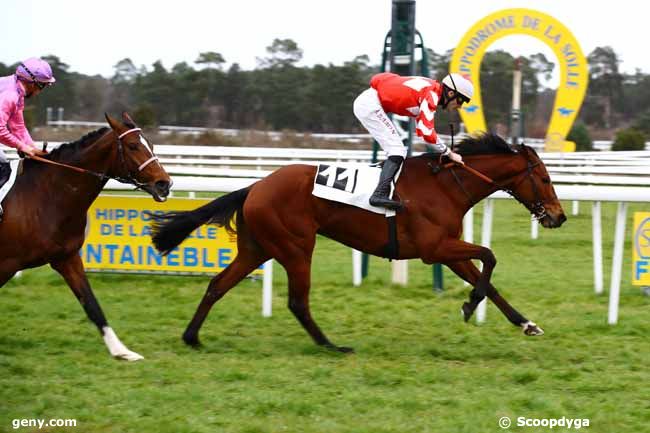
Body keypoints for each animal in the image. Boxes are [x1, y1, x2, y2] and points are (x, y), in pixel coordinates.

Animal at [0, 111, 171, 358]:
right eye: (132, 146)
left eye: (151, 145)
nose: (164, 184)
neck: (47, 196)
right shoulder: (7, 263)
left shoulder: (66, 257)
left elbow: (91, 303)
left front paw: (122, 351)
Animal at [151, 134, 560, 352]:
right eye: (543, 177)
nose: (558, 216)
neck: (446, 186)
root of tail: (256, 186)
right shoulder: (434, 249)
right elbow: (489, 258)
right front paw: (470, 304)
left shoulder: (448, 249)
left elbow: (489, 281)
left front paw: (525, 323)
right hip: (296, 247)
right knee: (297, 301)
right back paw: (331, 345)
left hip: (258, 248)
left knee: (218, 285)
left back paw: (192, 337)